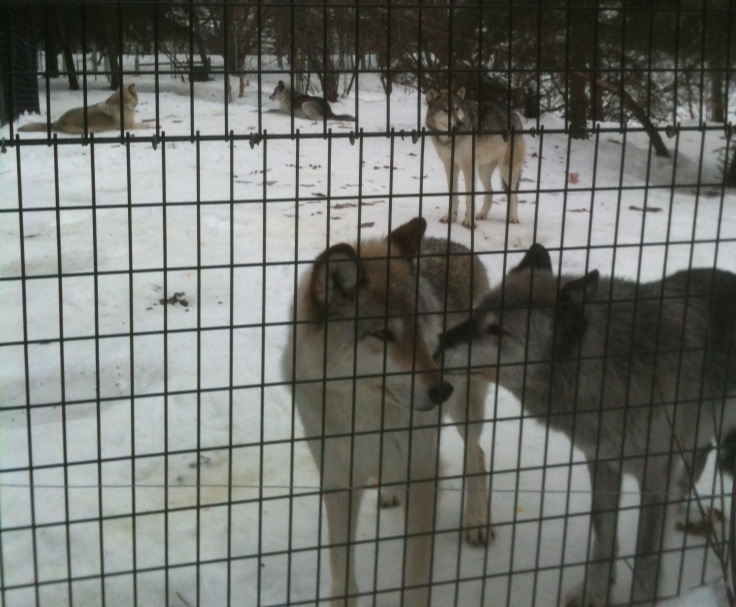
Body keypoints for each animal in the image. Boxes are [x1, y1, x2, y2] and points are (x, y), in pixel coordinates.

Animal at [18, 84, 151, 134]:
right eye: (137, 96)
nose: (138, 101)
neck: (122, 104)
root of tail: (57, 122)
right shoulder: (131, 126)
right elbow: (146, 125)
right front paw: (153, 125)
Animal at [281, 217, 492, 606]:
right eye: (383, 334)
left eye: (420, 326)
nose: (441, 389)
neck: (364, 414)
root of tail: (453, 243)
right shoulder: (338, 481)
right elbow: (343, 578)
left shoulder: (423, 476)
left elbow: (415, 582)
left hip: (466, 409)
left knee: (478, 453)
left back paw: (475, 520)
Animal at [425, 87, 526, 229]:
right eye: (445, 110)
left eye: (457, 108)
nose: (459, 123)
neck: (450, 139)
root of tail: (516, 115)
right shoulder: (450, 165)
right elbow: (453, 195)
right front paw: (451, 217)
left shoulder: (468, 167)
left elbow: (469, 197)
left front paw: (469, 221)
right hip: (482, 171)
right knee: (490, 192)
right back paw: (482, 214)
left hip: (506, 170)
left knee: (514, 195)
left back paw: (513, 218)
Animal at [438, 243, 736, 606]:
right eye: (477, 314)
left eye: (498, 331)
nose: (435, 343)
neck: (612, 366)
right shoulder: (602, 464)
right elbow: (603, 534)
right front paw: (594, 592)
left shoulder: (655, 476)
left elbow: (646, 555)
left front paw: (641, 598)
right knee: (698, 458)